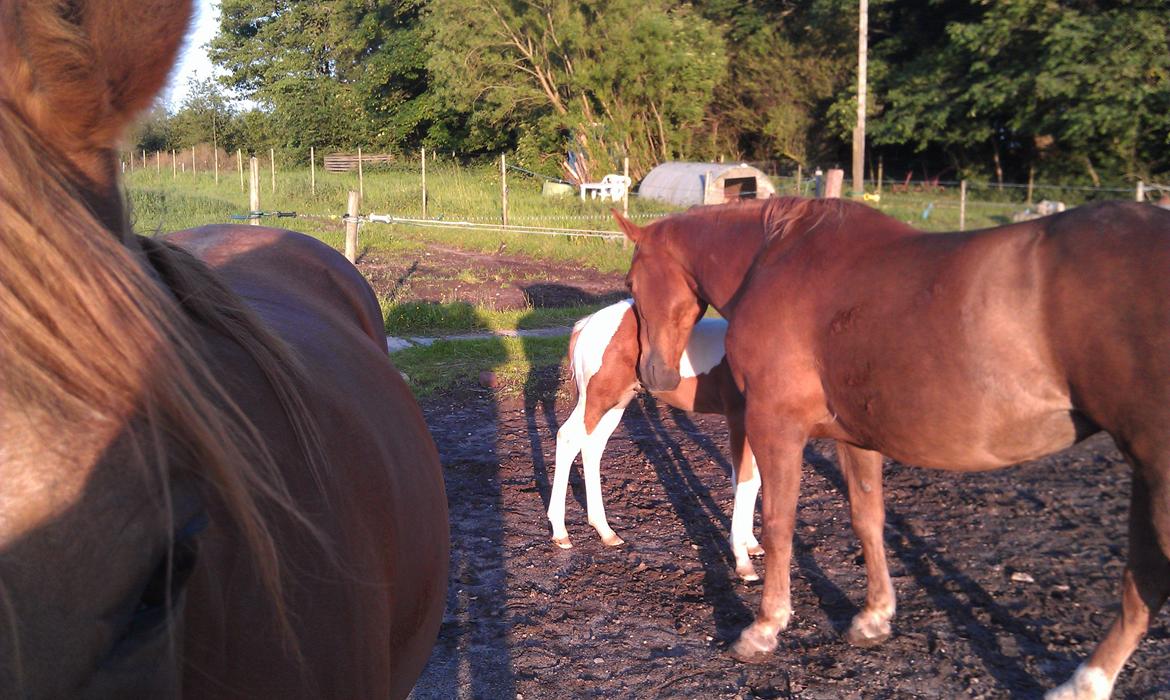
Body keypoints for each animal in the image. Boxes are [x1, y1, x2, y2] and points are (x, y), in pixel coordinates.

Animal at [548, 300, 765, 580]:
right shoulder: (740, 420)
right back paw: (561, 532)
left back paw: (605, 531)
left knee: (592, 447)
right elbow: (745, 480)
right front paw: (743, 561)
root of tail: (586, 324)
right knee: (569, 438)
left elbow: (754, 480)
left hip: (618, 402)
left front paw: (752, 544)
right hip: (598, 399)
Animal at [616, 196, 1170, 700]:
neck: (775, 258)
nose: (653, 374)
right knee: (1144, 584)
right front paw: (874, 617)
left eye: (632, 284)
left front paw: (765, 627)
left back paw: (1081, 685)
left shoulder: (776, 426)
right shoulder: (856, 436)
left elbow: (777, 524)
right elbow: (868, 519)